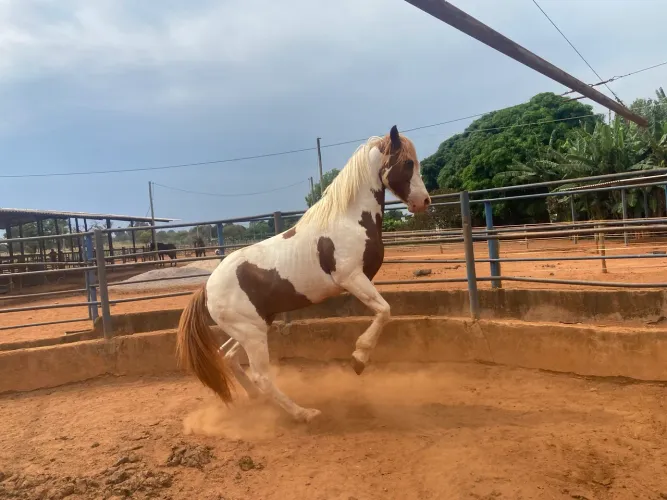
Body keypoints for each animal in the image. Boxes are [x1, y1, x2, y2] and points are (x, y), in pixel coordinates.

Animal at [176, 126, 430, 423]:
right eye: (408, 163)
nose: (424, 201)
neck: (349, 219)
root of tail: (206, 288)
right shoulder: (351, 278)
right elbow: (384, 311)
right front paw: (358, 359)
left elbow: (384, 311)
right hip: (252, 333)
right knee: (261, 376)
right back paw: (304, 413)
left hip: (254, 327)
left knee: (227, 357)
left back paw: (256, 400)